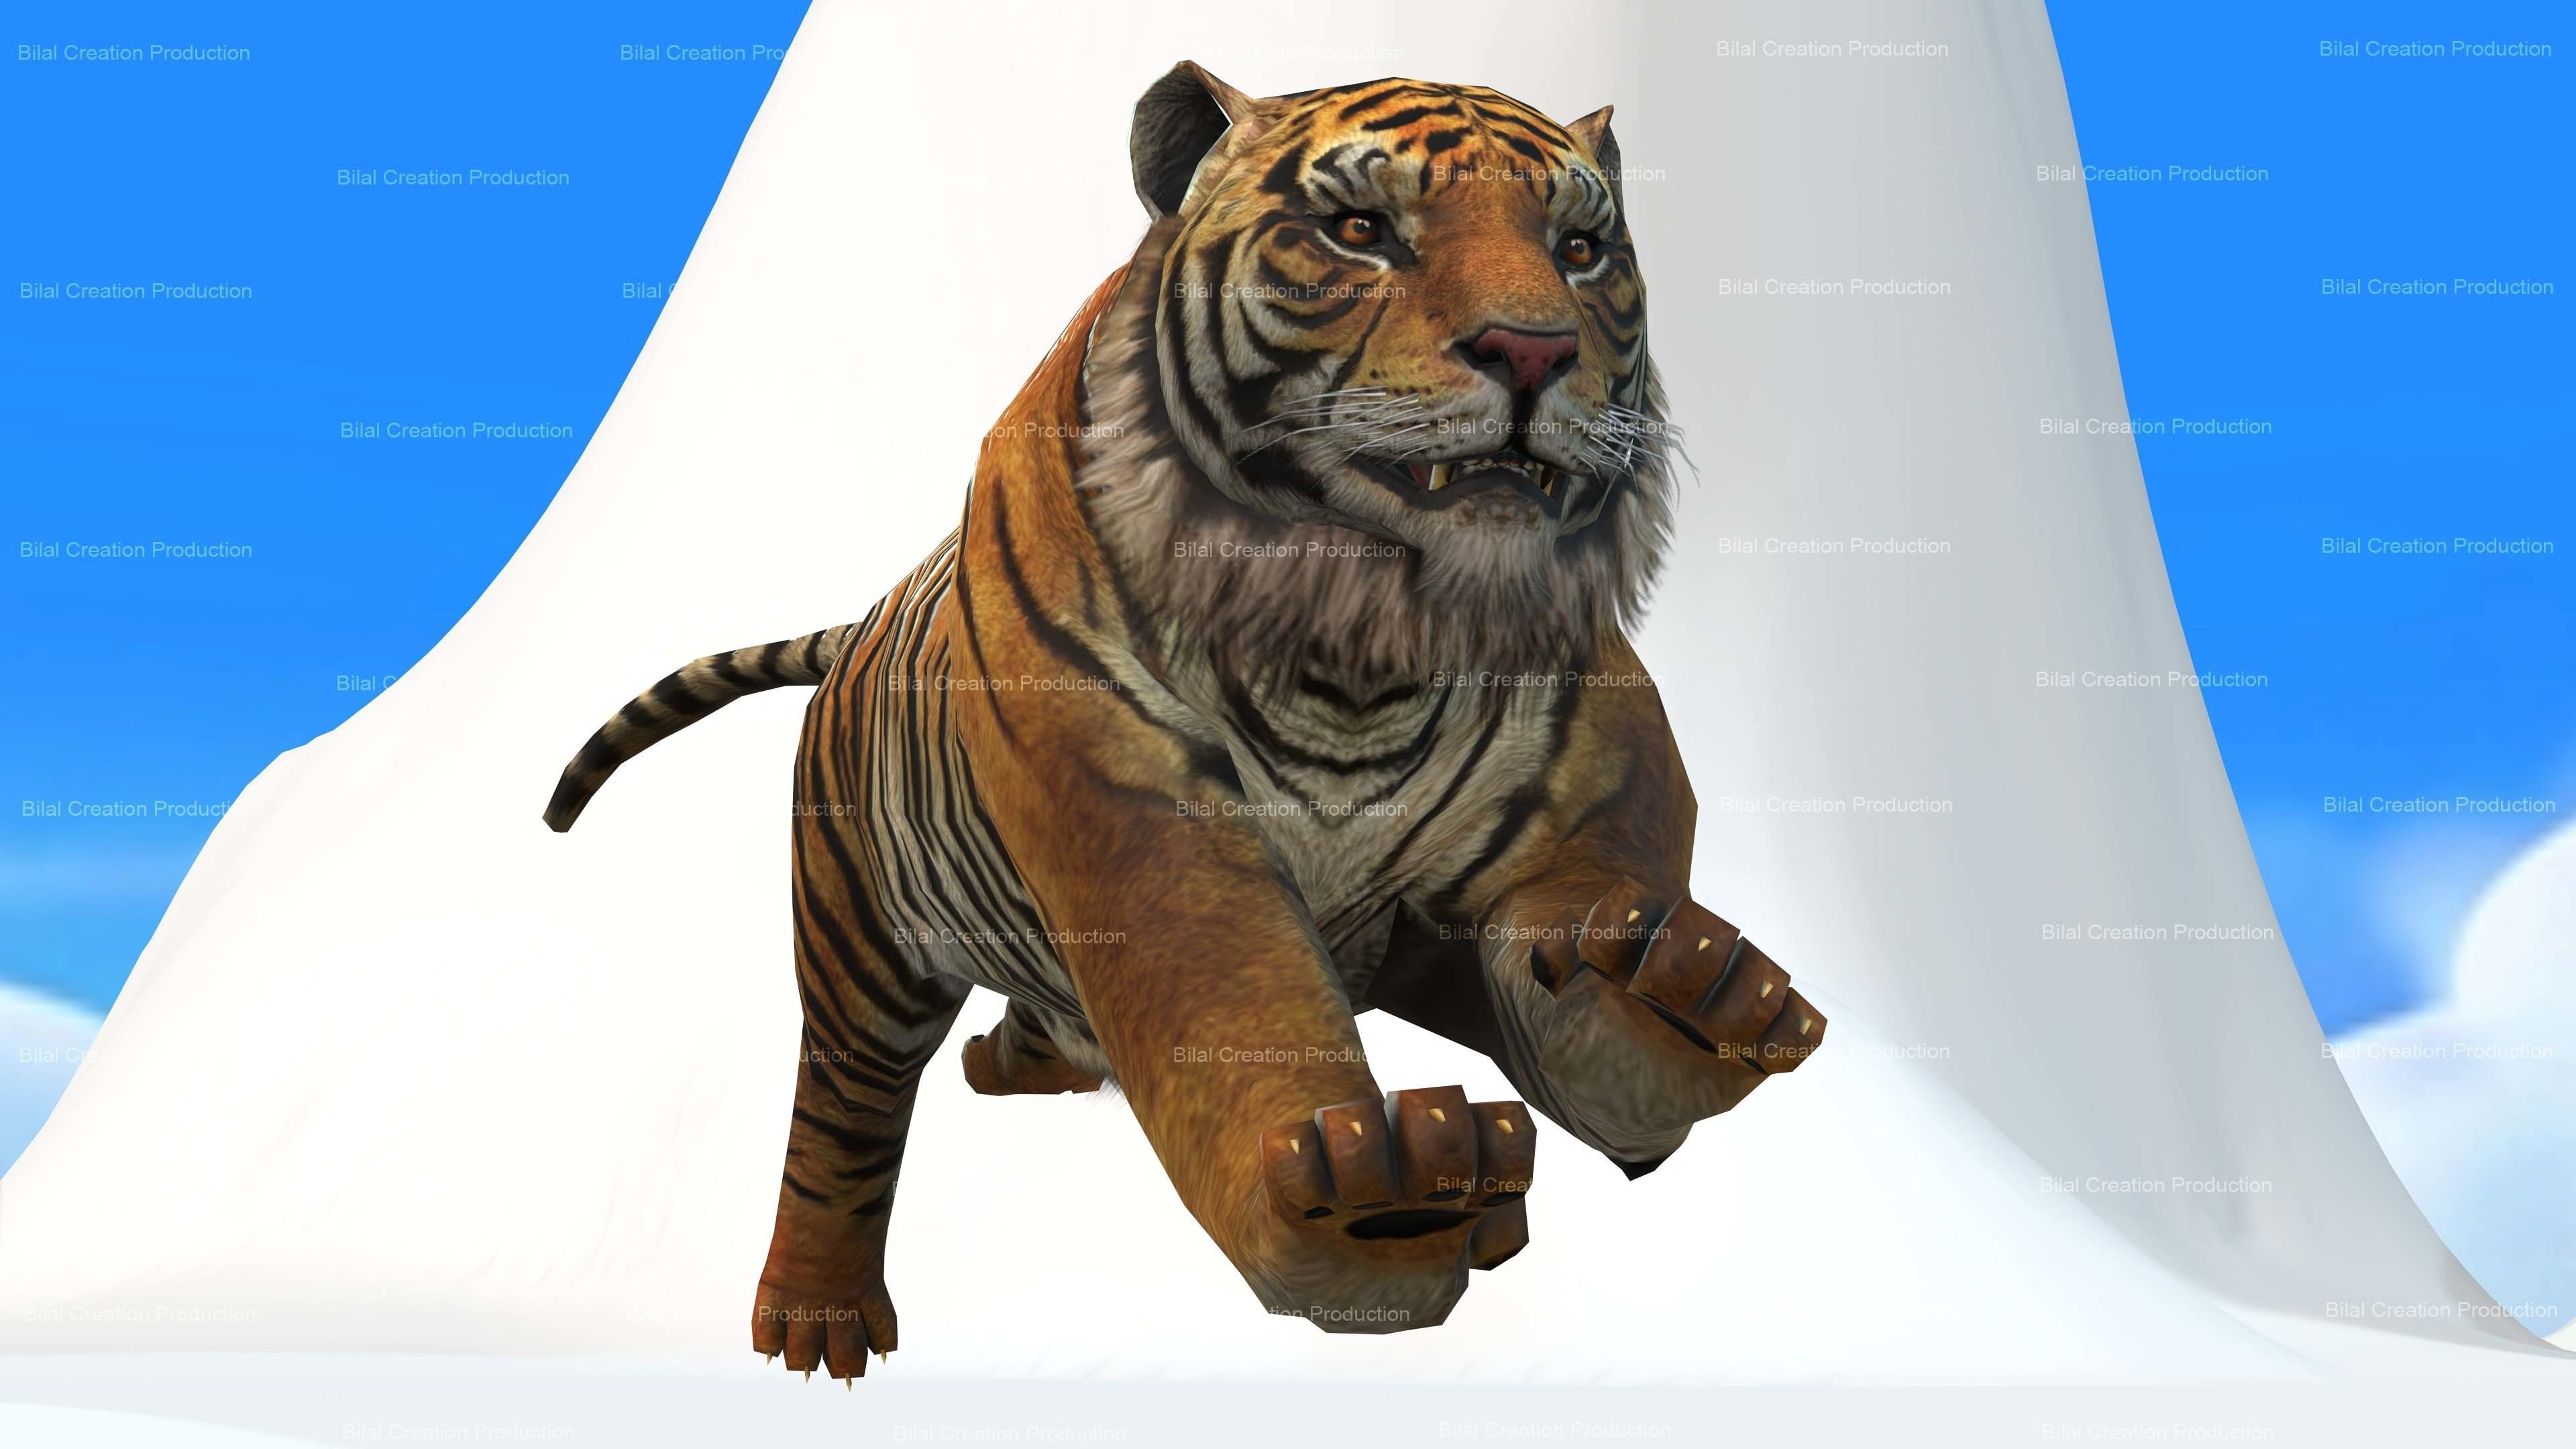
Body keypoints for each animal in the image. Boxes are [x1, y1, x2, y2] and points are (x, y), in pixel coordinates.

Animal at [545, 63, 1825, 1383]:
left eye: (1580, 250)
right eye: (1359, 230)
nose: (1534, 347)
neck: (1364, 647)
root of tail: (859, 628)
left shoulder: (1603, 770)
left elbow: (1586, 936)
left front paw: (1680, 1002)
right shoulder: (1138, 826)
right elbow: (1235, 1007)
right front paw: (1378, 1196)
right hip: (859, 940)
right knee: (841, 1120)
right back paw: (818, 1320)